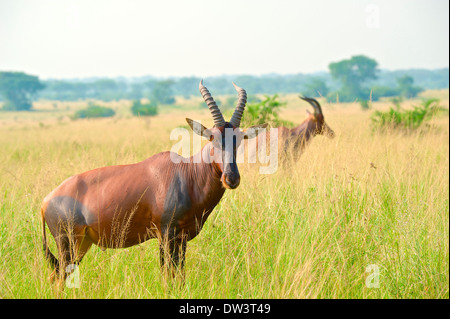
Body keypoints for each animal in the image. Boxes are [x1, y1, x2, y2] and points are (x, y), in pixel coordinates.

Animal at [41, 81, 268, 282]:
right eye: (211, 138)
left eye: (239, 139)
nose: (231, 178)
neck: (186, 172)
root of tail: (45, 201)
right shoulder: (166, 233)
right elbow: (167, 274)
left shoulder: (181, 238)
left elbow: (179, 274)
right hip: (68, 244)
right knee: (57, 278)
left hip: (81, 245)